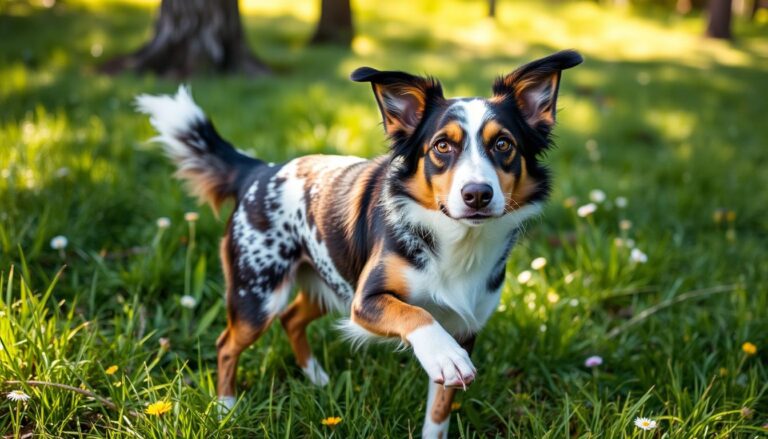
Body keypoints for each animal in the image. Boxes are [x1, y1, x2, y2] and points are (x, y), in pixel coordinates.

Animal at [136, 49, 584, 438]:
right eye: (442, 146)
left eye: (504, 144)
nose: (477, 194)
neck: (456, 242)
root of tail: (258, 170)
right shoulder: (366, 301)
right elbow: (416, 314)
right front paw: (439, 352)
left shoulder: (464, 324)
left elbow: (439, 410)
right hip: (258, 296)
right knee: (228, 343)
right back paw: (226, 408)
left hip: (328, 279)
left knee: (292, 320)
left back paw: (316, 378)